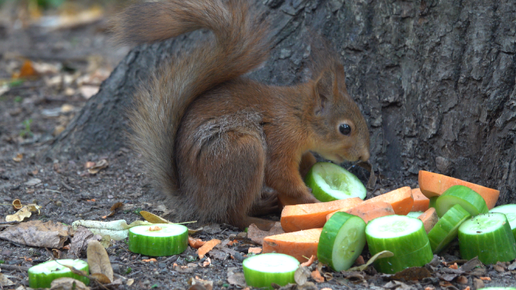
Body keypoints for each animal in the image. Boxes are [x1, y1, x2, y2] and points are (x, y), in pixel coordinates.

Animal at [114, 0, 368, 229]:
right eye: (345, 128)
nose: (364, 157)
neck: (298, 116)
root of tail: (193, 199)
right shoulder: (280, 137)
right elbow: (280, 175)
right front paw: (310, 200)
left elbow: (305, 160)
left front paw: (309, 166)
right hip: (243, 153)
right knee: (231, 215)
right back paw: (262, 222)